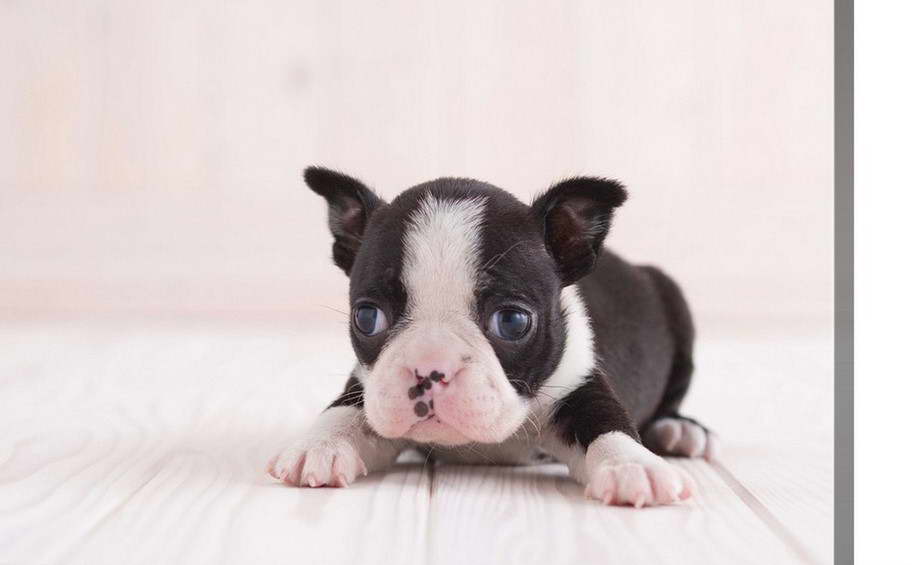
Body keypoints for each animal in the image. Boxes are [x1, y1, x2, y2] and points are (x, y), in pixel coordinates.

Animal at [268, 166, 716, 506]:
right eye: (366, 317)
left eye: (513, 321)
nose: (430, 368)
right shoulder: (371, 387)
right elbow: (344, 410)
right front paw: (319, 445)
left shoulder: (579, 382)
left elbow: (607, 422)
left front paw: (632, 464)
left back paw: (678, 430)